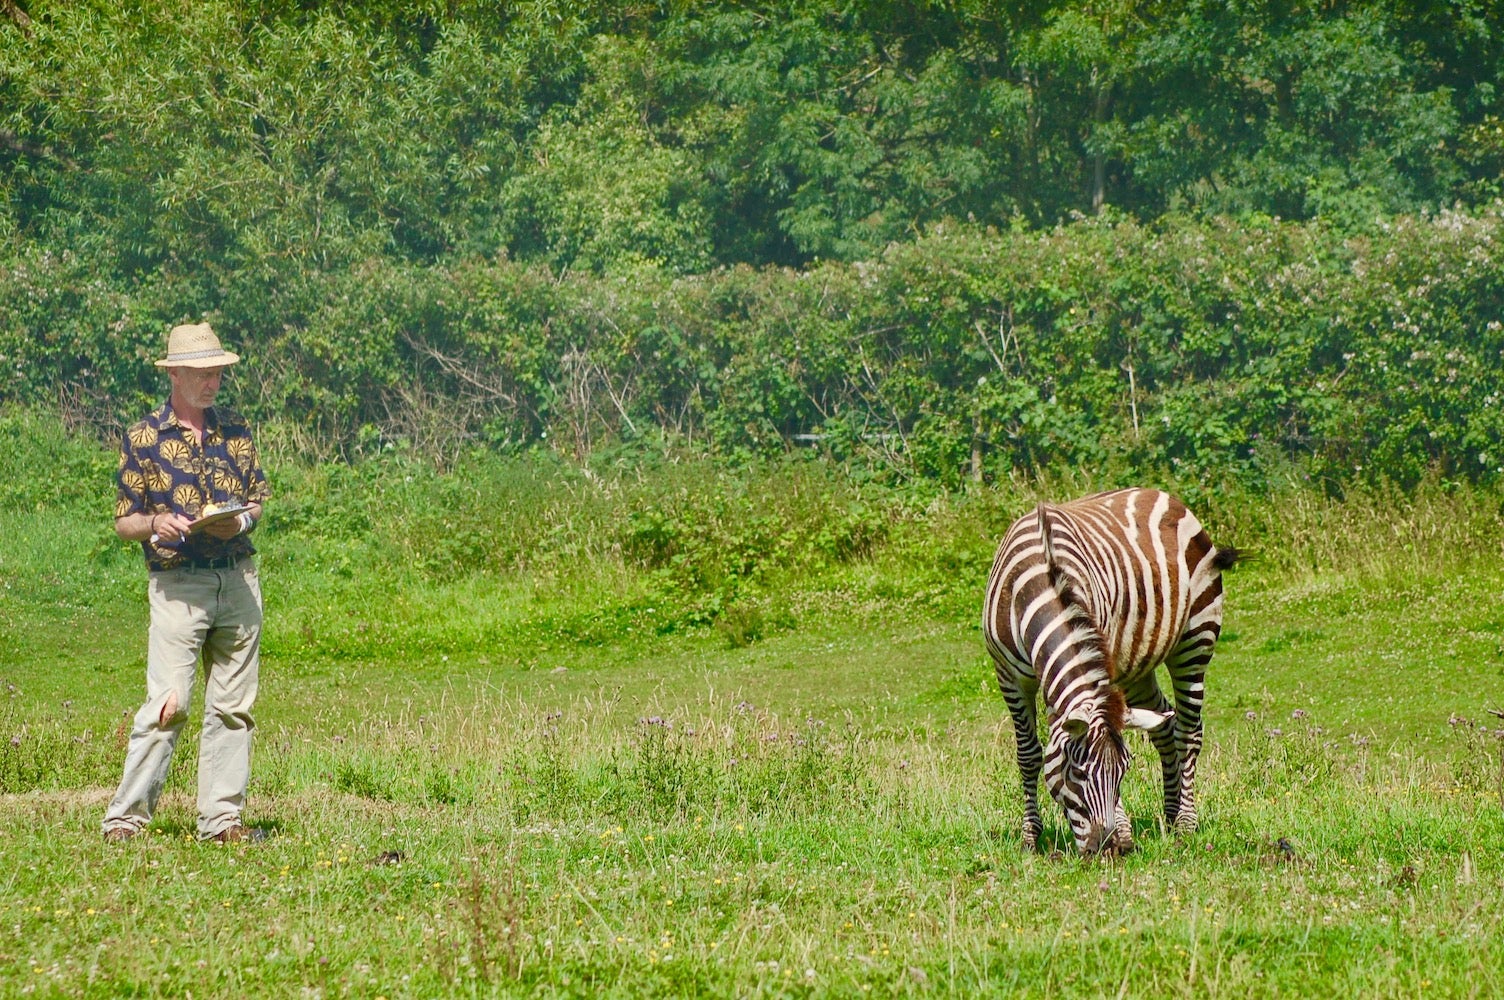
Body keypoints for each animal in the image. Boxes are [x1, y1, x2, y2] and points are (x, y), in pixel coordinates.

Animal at [982, 488, 1237, 855]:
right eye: (1075, 772)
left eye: (1123, 772)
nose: (1107, 847)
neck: (1042, 584)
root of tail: (1159, 493)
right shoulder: (1008, 676)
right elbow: (1028, 753)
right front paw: (1030, 836)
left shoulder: (1098, 654)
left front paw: (1123, 829)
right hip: (1137, 668)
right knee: (1165, 724)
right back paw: (1170, 814)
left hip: (1196, 638)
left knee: (1189, 730)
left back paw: (1185, 823)